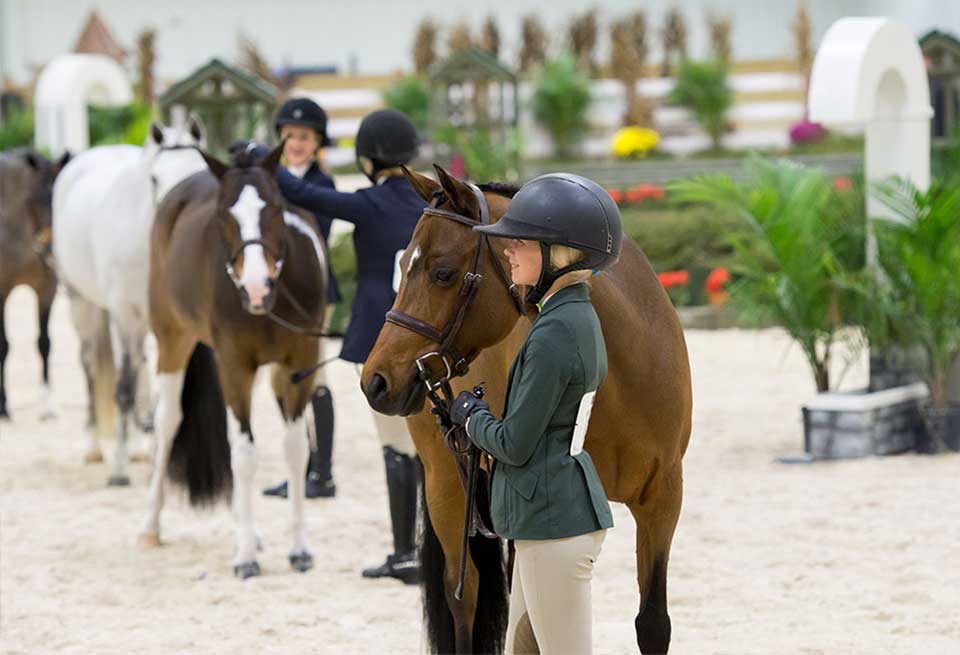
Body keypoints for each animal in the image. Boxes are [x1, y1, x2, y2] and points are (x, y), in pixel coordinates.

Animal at [0, 150, 70, 420]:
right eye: (30, 200)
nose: (50, 249)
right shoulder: (2, 292)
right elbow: (4, 345)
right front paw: (3, 406)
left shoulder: (46, 289)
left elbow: (44, 342)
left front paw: (47, 404)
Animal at [52, 119, 206, 486]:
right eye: (155, 178)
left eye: (201, 170)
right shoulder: (124, 315)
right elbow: (122, 387)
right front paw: (119, 469)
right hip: (84, 304)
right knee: (93, 367)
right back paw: (95, 448)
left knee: (140, 370)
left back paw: (140, 449)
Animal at [137, 144, 328, 580]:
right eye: (224, 214)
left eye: (275, 206)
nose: (257, 286)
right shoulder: (234, 365)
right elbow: (243, 455)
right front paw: (245, 557)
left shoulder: (298, 364)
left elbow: (295, 449)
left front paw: (299, 548)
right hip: (172, 339)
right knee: (168, 421)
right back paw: (151, 525)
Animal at [364, 167, 692, 652]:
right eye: (403, 267)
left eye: (443, 273)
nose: (376, 380)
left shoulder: (663, 498)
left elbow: (652, 622)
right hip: (446, 483)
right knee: (466, 595)